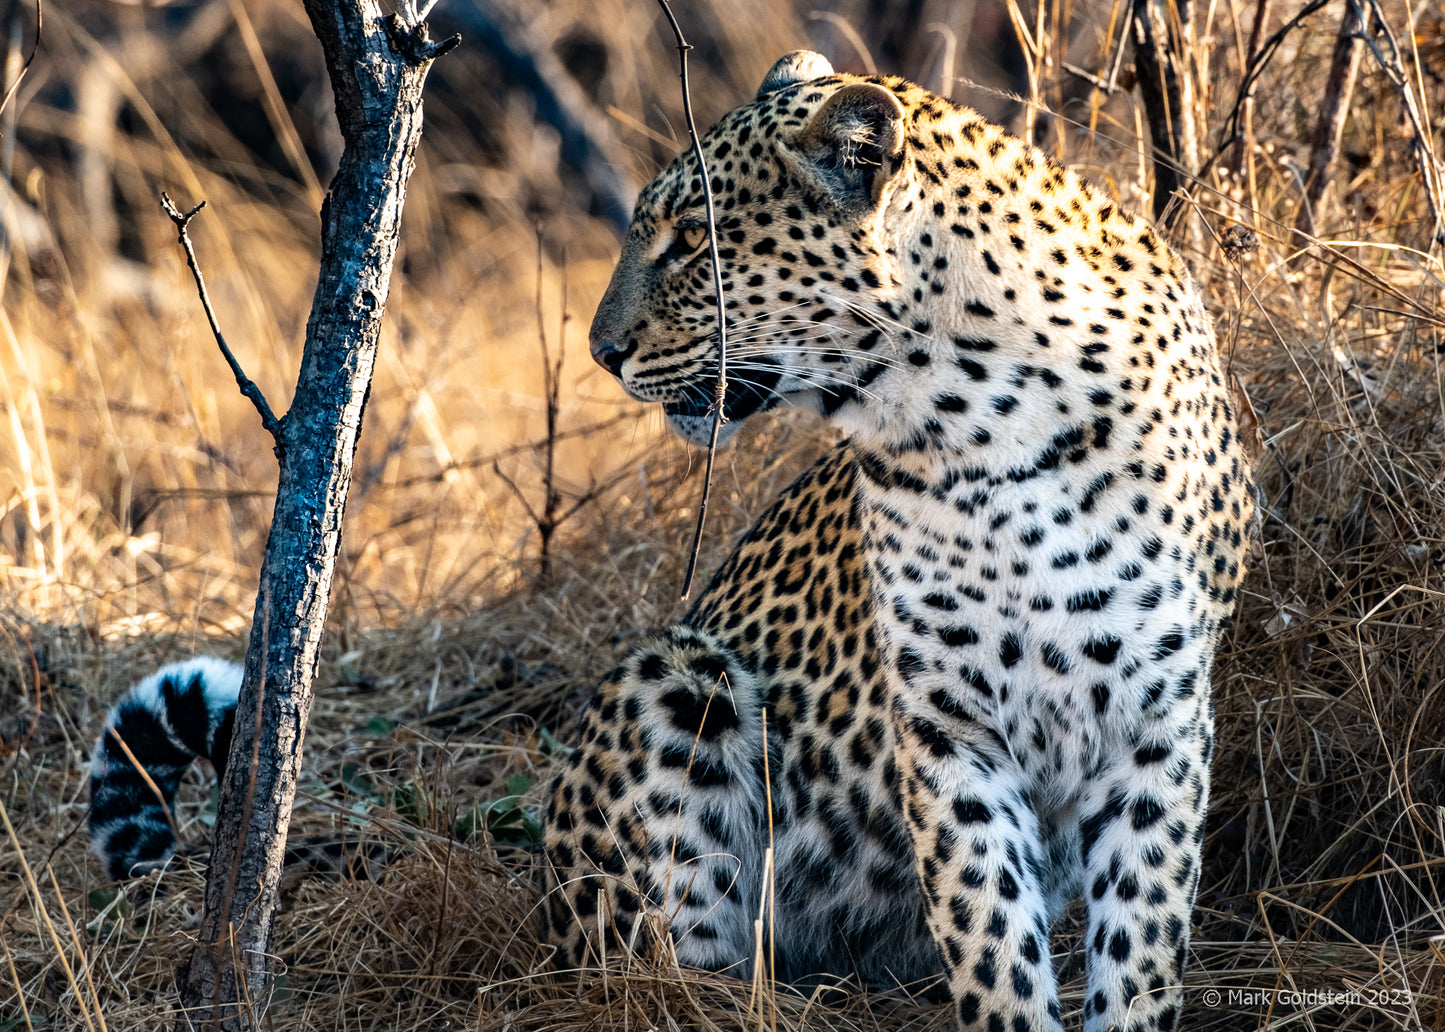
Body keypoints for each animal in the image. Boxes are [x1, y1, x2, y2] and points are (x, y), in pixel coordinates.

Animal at [543, 52, 1254, 1029]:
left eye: (692, 242)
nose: (600, 352)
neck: (982, 424)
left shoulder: (1158, 718)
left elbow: (1140, 936)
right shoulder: (946, 725)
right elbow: (989, 930)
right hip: (676, 678)